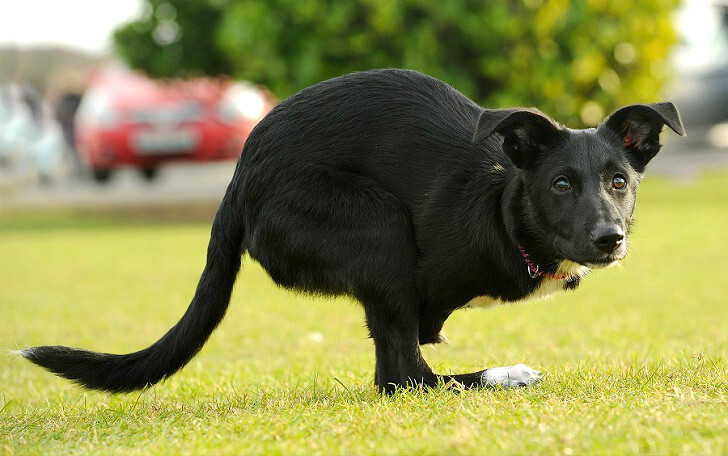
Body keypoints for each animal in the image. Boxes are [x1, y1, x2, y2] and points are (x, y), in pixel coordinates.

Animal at [21, 69, 684, 394]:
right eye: (561, 184)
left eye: (619, 180)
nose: (610, 239)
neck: (502, 206)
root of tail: (241, 175)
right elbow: (407, 362)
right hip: (375, 225)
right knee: (401, 379)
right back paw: (506, 375)